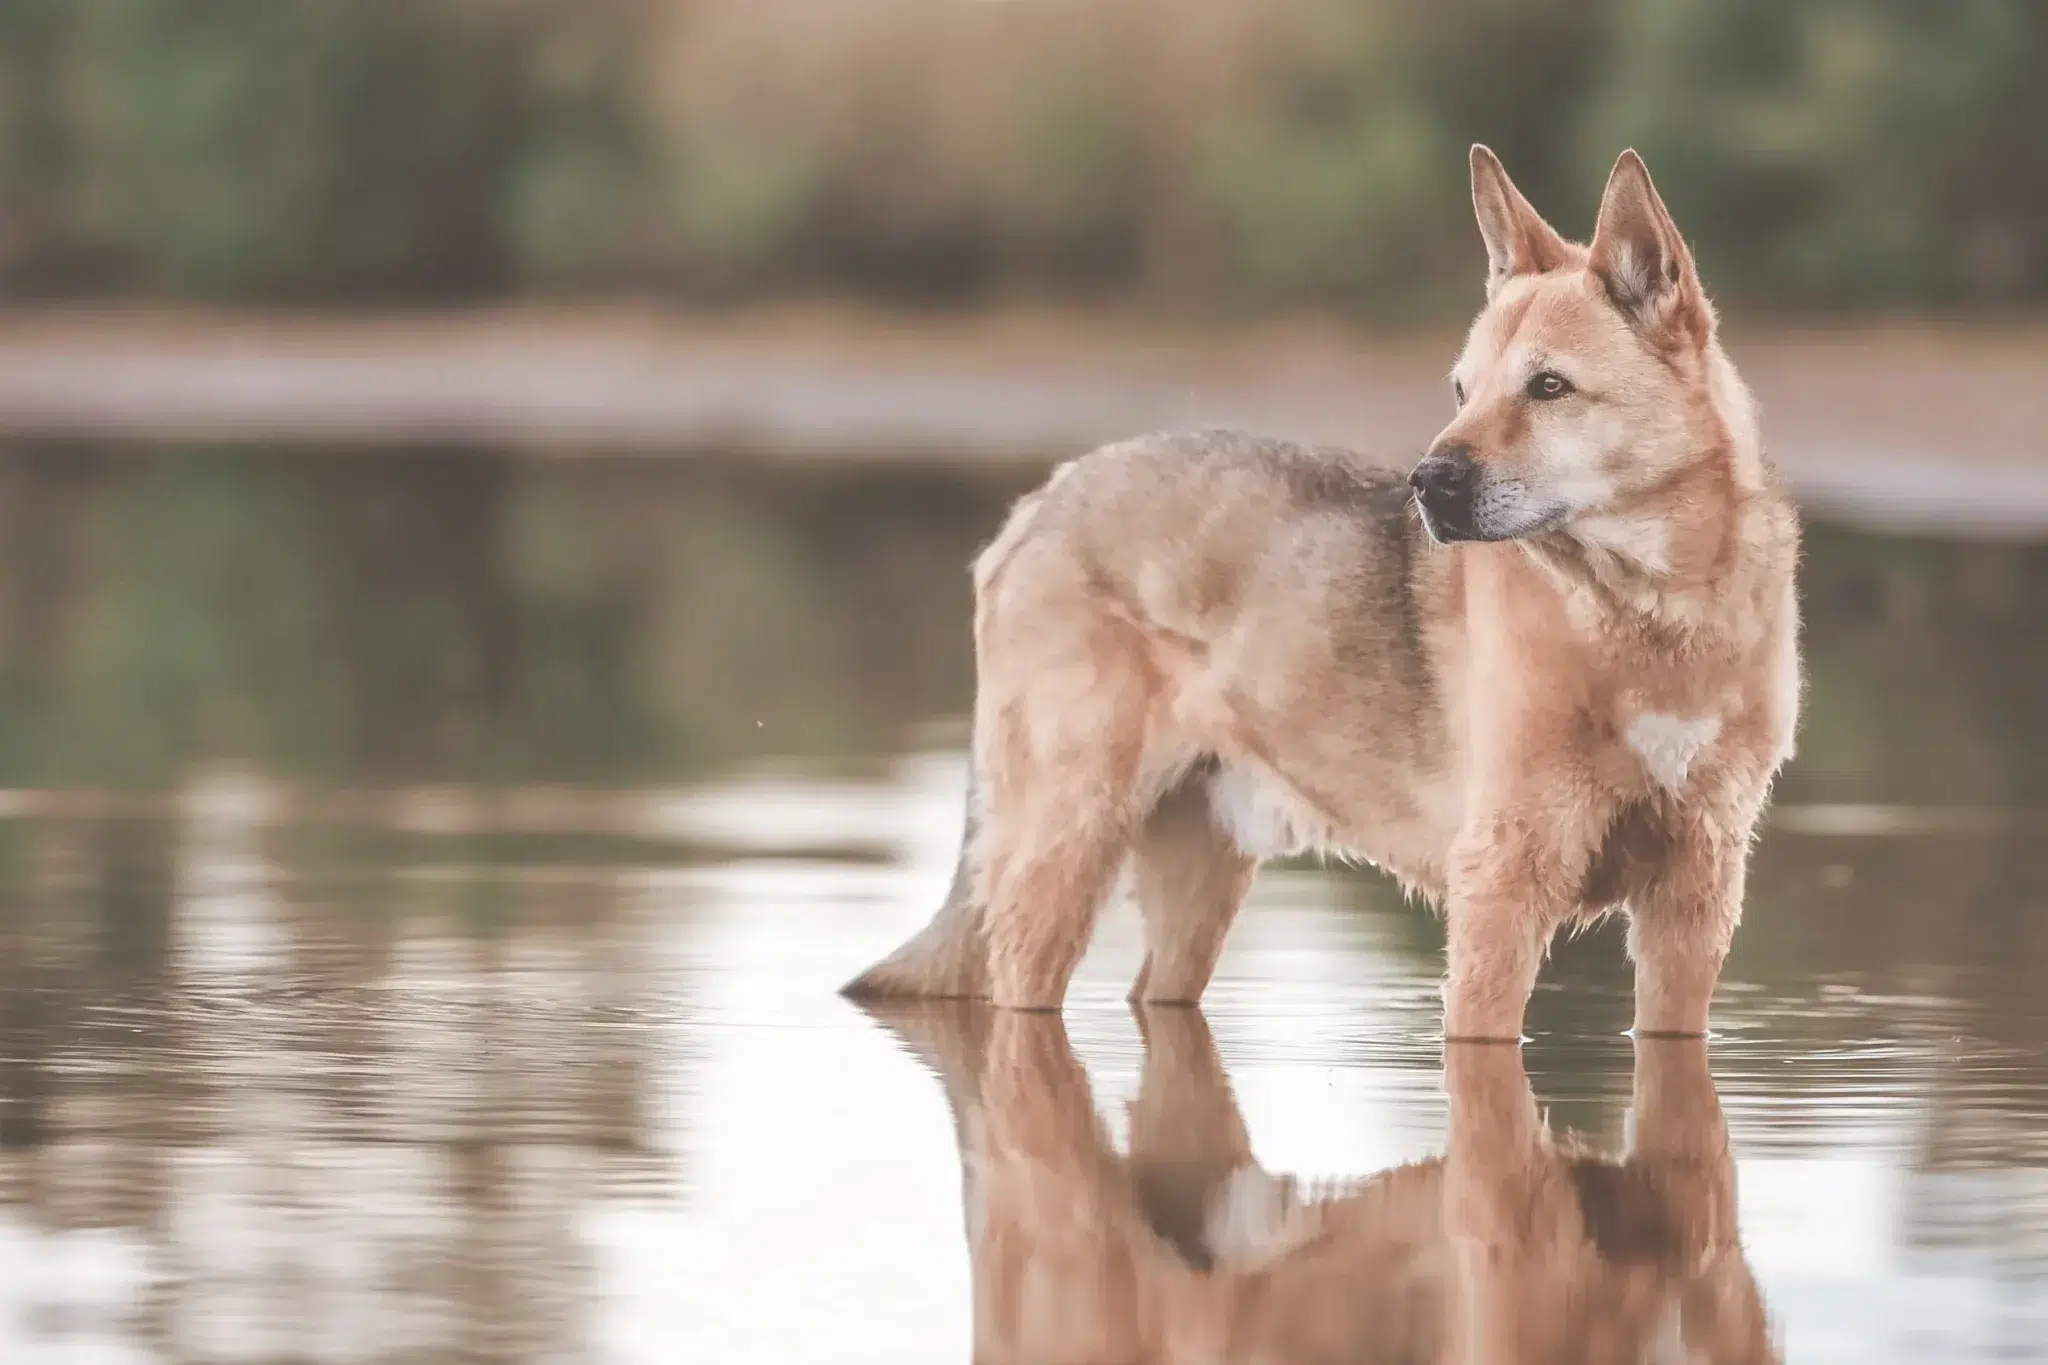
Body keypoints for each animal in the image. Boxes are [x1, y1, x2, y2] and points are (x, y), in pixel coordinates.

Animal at [839, 149, 1802, 1039]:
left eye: (1550, 387)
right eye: (1461, 389)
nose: (1426, 483)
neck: (1651, 617)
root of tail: (1039, 501)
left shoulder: (1694, 899)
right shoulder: (1503, 888)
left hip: (1194, 887)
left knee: (1151, 992)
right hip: (1064, 851)